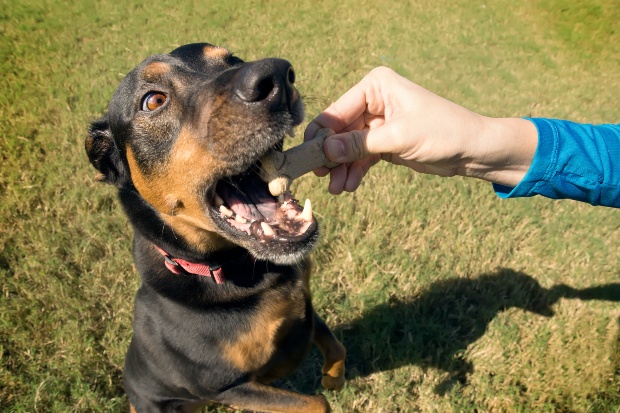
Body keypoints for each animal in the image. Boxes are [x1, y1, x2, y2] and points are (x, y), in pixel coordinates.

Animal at [86, 42, 346, 412]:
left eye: (232, 60)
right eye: (153, 100)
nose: (277, 77)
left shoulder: (305, 301)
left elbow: (334, 343)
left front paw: (333, 377)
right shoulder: (225, 386)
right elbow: (316, 403)